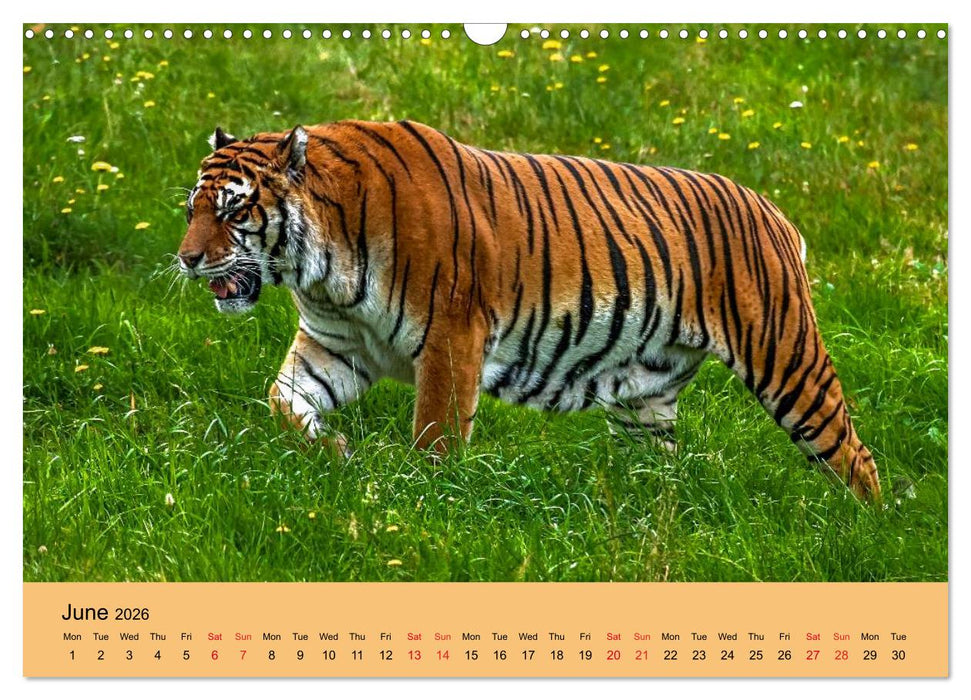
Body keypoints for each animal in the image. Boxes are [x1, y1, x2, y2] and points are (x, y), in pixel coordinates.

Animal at [177, 120, 881, 501]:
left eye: (234, 209)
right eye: (191, 208)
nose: (185, 259)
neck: (320, 270)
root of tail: (773, 210)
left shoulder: (451, 335)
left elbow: (435, 432)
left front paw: (426, 500)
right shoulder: (335, 345)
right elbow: (283, 399)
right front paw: (336, 452)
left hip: (786, 358)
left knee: (853, 454)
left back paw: (863, 531)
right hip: (646, 396)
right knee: (660, 470)